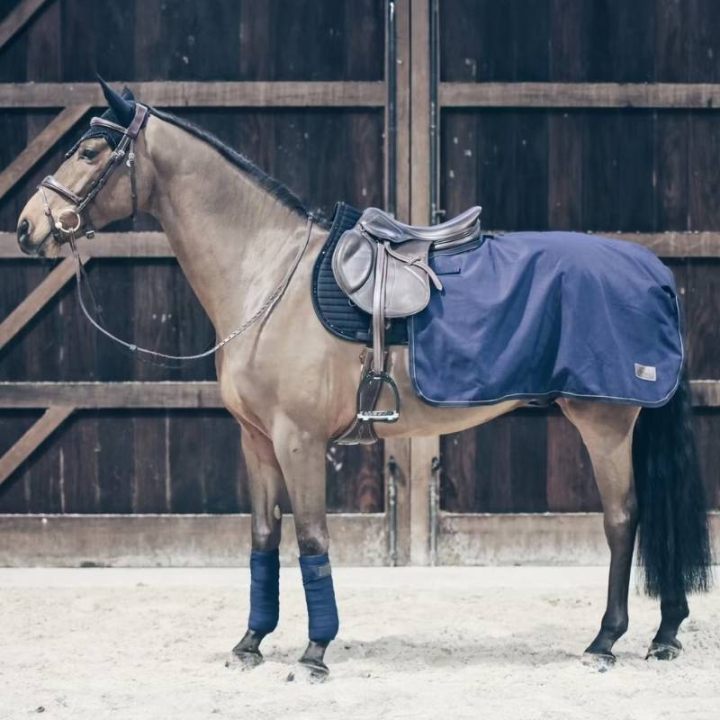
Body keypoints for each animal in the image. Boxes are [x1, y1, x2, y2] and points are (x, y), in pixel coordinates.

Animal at [15, 80, 712, 679]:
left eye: (89, 150)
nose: (27, 227)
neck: (269, 274)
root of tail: (651, 270)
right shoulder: (256, 442)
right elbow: (264, 537)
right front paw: (251, 642)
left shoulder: (298, 442)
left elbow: (312, 538)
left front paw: (315, 652)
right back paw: (665, 633)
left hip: (604, 424)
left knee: (622, 519)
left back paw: (605, 641)